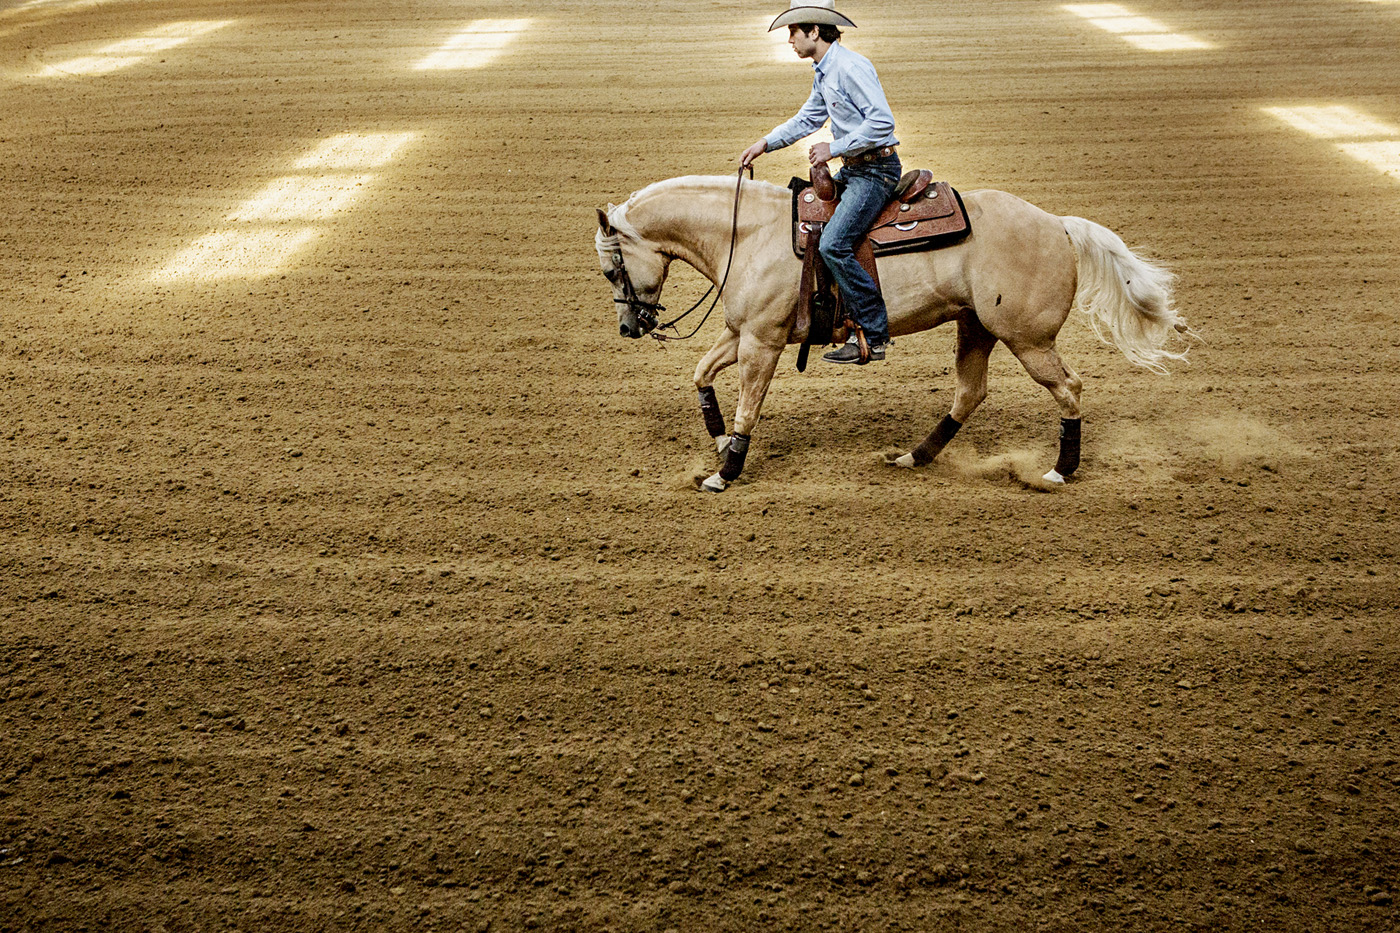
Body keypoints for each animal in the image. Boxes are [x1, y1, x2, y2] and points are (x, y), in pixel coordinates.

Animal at [593, 176, 1192, 493]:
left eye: (611, 269)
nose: (629, 327)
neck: (749, 234)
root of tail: (1058, 223)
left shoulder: (762, 341)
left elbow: (749, 406)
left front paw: (727, 470)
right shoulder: (740, 332)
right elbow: (701, 376)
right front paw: (718, 444)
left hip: (1028, 339)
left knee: (1068, 388)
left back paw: (1060, 470)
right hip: (976, 327)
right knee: (970, 392)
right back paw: (915, 457)